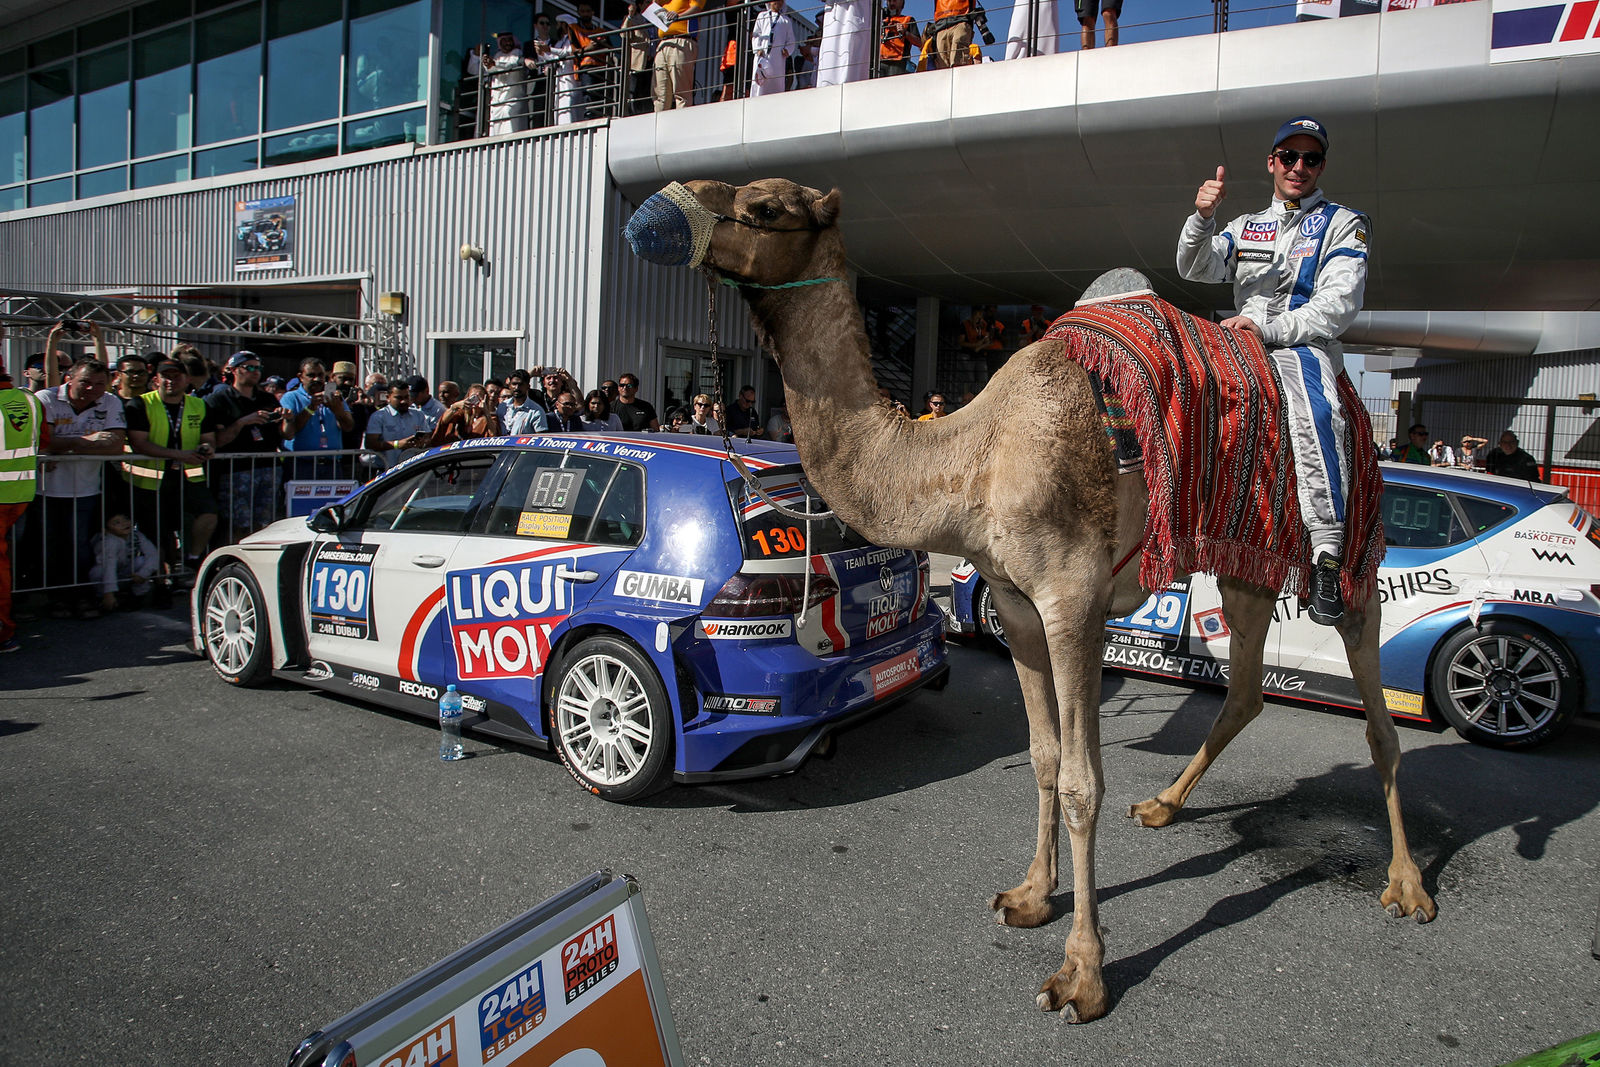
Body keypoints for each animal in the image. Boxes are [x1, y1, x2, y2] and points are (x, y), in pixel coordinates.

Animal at [624, 179, 1440, 1023]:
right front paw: (1030, 894)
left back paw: (1407, 884)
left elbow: (1084, 779)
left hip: (1351, 542)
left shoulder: (1072, 598)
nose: (653, 210)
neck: (973, 461)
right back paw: (1164, 805)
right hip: (1246, 558)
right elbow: (1045, 756)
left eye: (766, 209)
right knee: (1244, 687)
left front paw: (1082, 973)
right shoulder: (1015, 604)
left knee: (1376, 709)